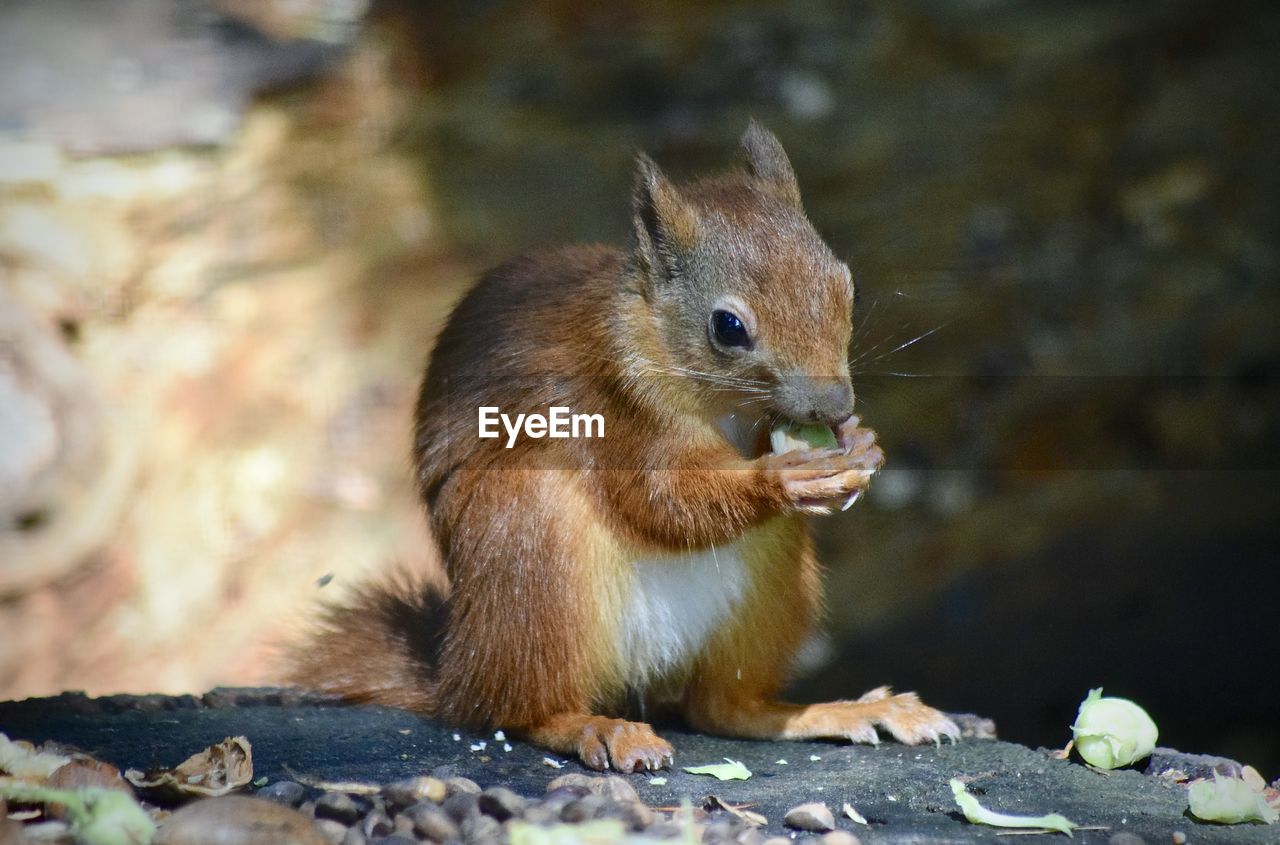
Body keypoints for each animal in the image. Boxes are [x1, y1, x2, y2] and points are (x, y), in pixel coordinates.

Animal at [293, 120, 962, 773]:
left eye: (848, 287)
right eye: (728, 327)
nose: (832, 407)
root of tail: (459, 669)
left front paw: (863, 444)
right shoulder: (612, 407)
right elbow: (659, 500)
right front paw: (781, 478)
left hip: (771, 590)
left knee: (724, 709)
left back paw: (845, 711)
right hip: (532, 550)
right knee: (516, 709)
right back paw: (597, 727)